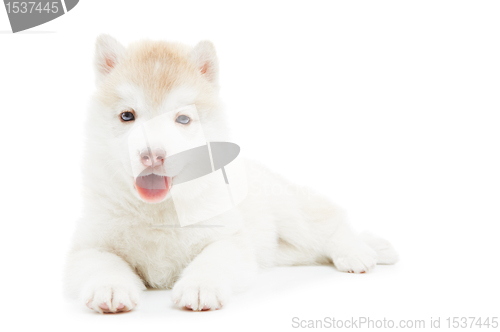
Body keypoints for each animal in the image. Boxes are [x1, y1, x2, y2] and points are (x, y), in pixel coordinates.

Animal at [64, 34, 398, 314]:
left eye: (183, 119)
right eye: (127, 116)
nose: (152, 155)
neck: (160, 210)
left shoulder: (230, 239)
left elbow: (212, 259)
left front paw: (200, 286)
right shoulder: (87, 245)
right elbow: (103, 263)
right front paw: (110, 287)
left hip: (292, 213)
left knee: (330, 224)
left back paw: (359, 251)